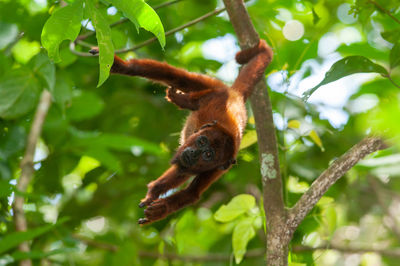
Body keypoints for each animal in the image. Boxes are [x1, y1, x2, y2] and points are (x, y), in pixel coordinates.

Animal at [89, 38, 274, 223]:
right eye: (202, 141)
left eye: (208, 155)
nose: (193, 153)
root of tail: (236, 96)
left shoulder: (220, 168)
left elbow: (191, 193)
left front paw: (160, 209)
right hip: (216, 88)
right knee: (177, 77)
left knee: (182, 170)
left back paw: (155, 190)